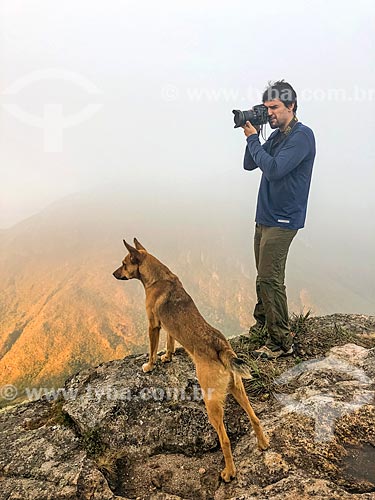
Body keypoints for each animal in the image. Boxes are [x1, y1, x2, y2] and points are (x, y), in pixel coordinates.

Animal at [113, 238, 268, 480]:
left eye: (124, 263)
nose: (113, 273)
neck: (158, 277)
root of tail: (221, 347)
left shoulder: (153, 325)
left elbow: (152, 349)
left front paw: (149, 365)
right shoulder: (168, 327)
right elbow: (170, 343)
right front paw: (167, 357)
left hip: (211, 402)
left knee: (224, 439)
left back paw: (229, 472)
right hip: (238, 389)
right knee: (255, 418)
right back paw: (263, 444)